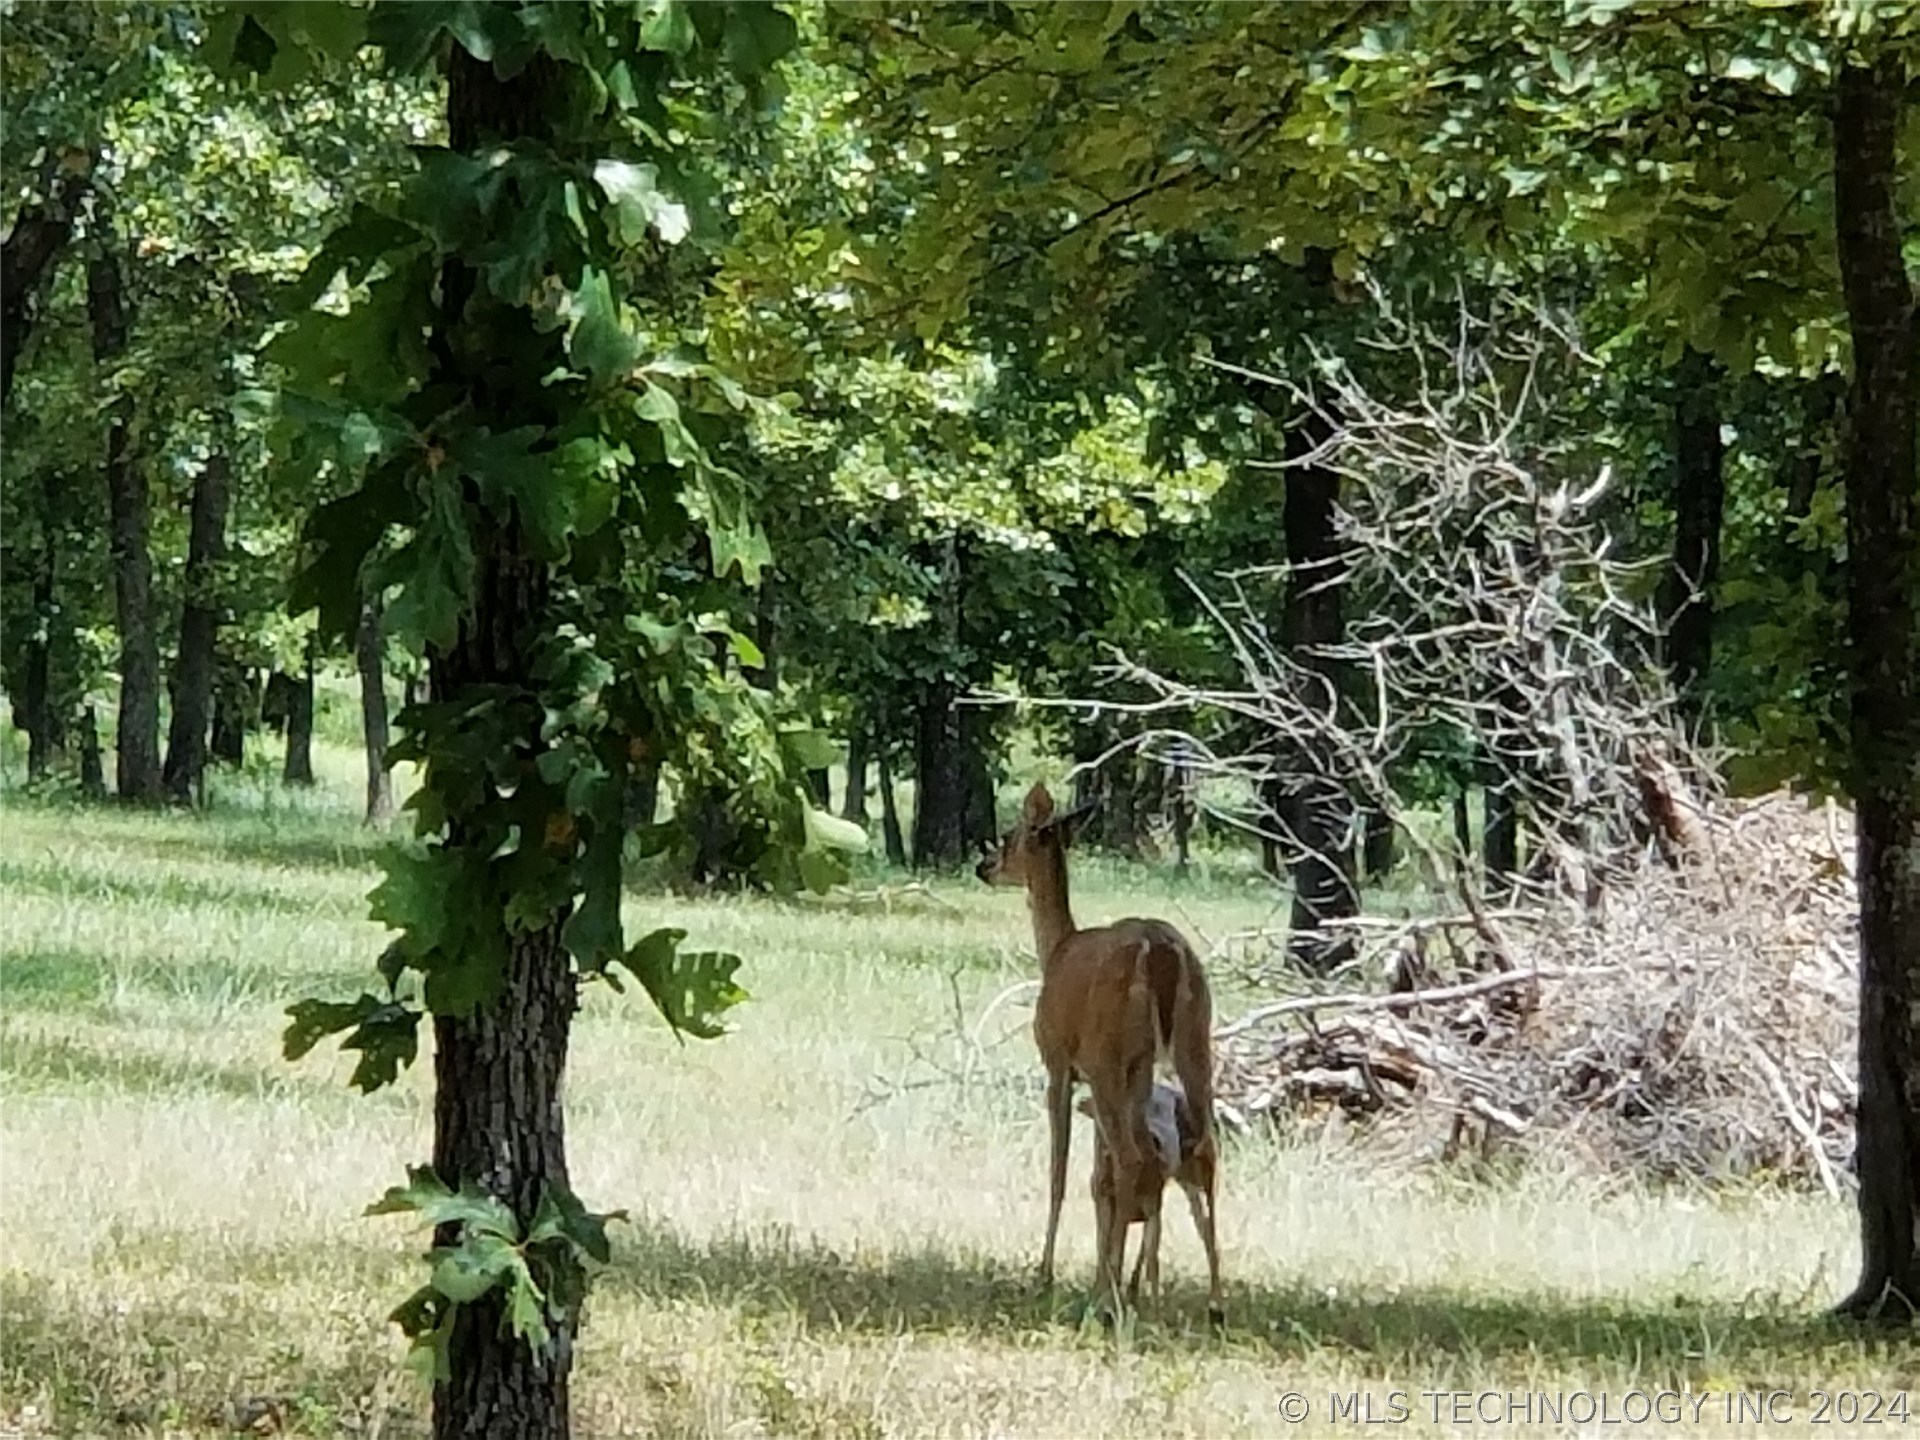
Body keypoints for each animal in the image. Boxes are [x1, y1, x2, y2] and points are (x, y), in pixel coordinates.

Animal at [1082, 1082, 1213, 1320]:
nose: (1155, 1142)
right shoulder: (1104, 1202)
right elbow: (1106, 1252)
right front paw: (1100, 1302)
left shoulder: (1151, 1205)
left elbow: (1151, 1260)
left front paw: (1154, 1314)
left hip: (1187, 1179)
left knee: (1204, 1227)